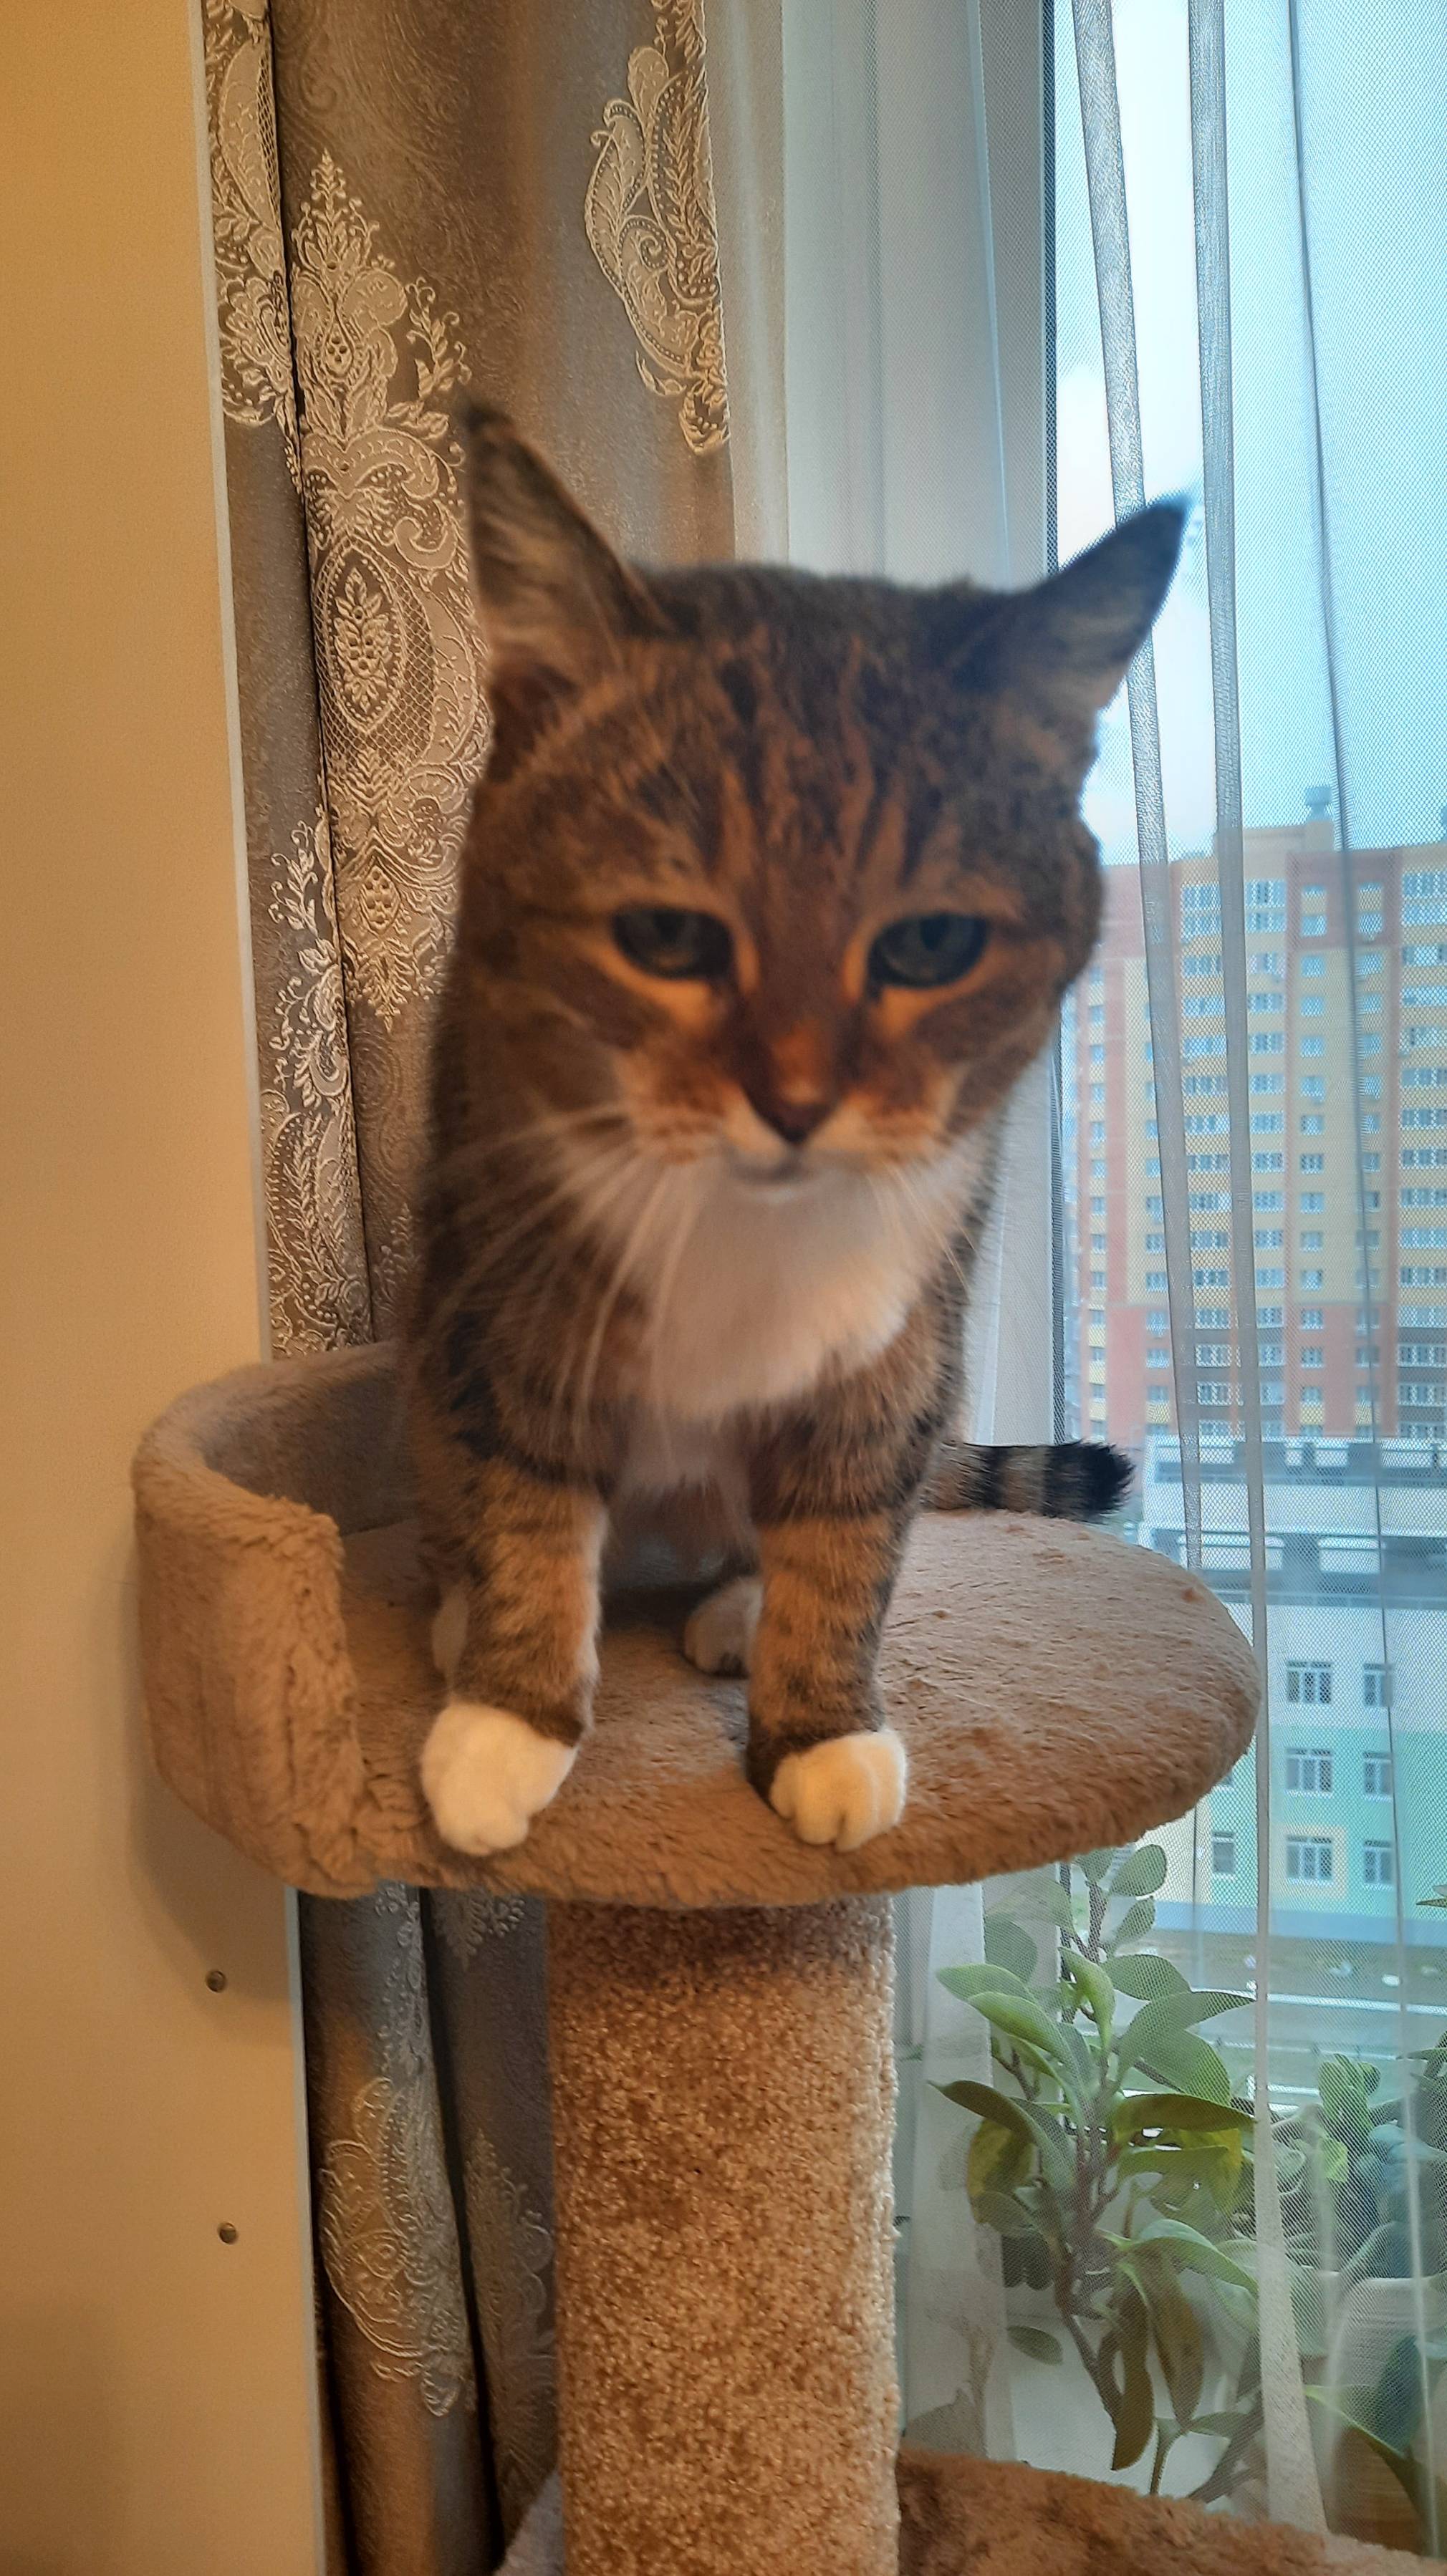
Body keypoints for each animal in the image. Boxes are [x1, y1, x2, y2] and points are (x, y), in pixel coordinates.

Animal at [404, 404, 1183, 1860]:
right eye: (667, 934)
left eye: (931, 945)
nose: (800, 1098)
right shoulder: (514, 1275)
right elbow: (527, 1489)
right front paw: (509, 1717)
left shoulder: (900, 1338)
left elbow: (846, 1527)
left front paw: (818, 1732)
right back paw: (462, 1610)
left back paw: (731, 1609)